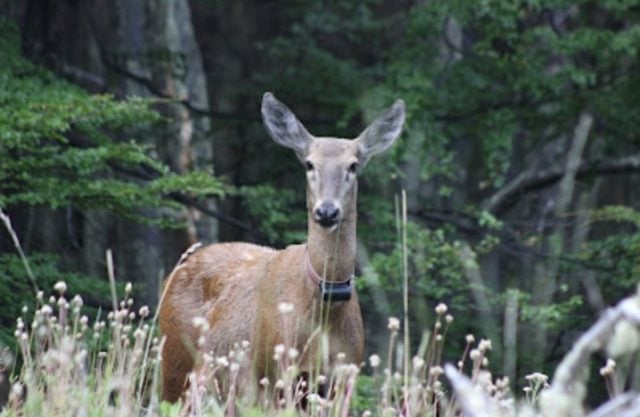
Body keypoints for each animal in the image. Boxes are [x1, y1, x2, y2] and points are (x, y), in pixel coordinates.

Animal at [158, 91, 404, 400]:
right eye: (309, 164)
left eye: (353, 165)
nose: (327, 211)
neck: (324, 313)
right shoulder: (280, 367)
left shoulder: (345, 374)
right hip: (174, 362)